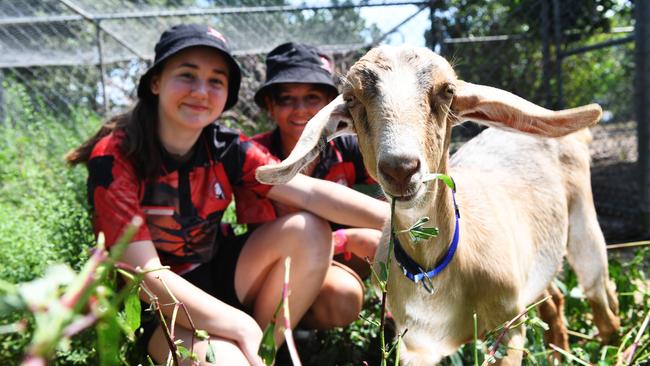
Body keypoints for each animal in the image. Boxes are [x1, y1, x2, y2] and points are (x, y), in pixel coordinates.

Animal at [254, 46, 616, 366]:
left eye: (447, 91)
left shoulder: (508, 332)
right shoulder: (416, 347)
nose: (401, 168)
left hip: (585, 231)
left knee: (604, 306)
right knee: (556, 300)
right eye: (352, 98)